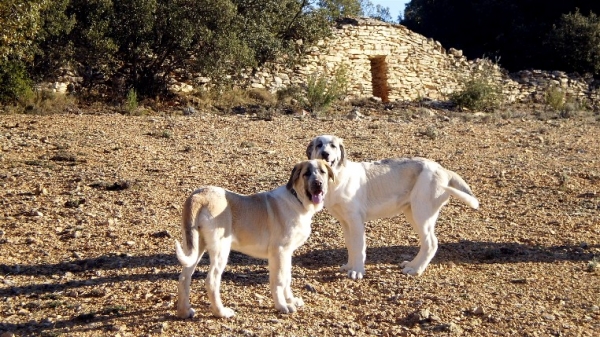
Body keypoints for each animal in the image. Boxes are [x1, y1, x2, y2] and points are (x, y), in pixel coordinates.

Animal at [175, 160, 332, 318]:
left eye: (322, 172)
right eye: (306, 173)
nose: (318, 183)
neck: (297, 199)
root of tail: (199, 196)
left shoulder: (287, 253)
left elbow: (287, 278)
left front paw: (291, 300)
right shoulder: (279, 252)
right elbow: (279, 281)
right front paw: (282, 306)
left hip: (196, 245)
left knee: (184, 277)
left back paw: (184, 311)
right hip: (221, 249)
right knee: (212, 280)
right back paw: (221, 312)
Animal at [308, 135, 480, 278]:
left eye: (333, 146)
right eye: (319, 145)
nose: (325, 154)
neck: (336, 178)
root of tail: (443, 169)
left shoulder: (356, 221)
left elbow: (358, 247)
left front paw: (357, 271)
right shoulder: (345, 222)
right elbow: (350, 245)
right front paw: (350, 266)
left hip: (422, 213)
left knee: (432, 243)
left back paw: (416, 270)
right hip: (413, 214)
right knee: (426, 243)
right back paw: (412, 265)